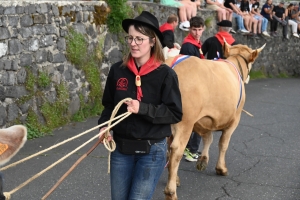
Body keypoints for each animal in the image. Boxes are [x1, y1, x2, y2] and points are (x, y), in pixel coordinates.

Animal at [164, 42, 264, 200]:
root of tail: (172, 64)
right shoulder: (234, 120)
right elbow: (223, 144)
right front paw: (221, 168)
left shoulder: (206, 120)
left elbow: (208, 138)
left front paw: (203, 160)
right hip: (185, 122)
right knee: (176, 151)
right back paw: (171, 192)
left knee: (168, 149)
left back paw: (175, 180)